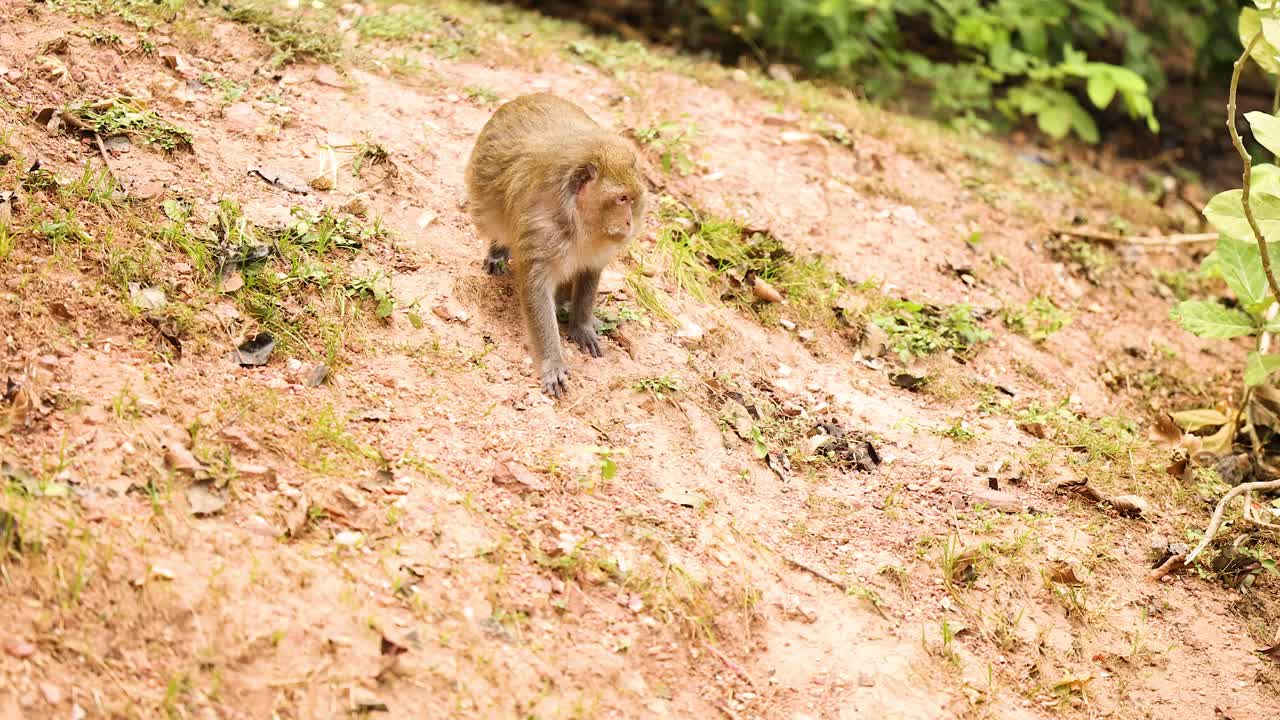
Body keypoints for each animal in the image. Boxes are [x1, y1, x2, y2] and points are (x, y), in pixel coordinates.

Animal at [464, 93, 646, 398]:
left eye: (633, 200)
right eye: (621, 199)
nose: (629, 223)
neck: (575, 220)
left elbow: (589, 272)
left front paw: (582, 325)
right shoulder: (541, 228)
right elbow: (536, 288)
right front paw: (552, 361)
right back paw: (499, 251)